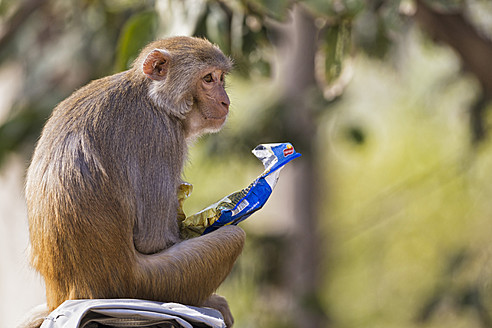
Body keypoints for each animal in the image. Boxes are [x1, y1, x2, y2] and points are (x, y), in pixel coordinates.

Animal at [23, 36, 246, 328]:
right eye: (208, 79)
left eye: (221, 78)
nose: (226, 101)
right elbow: (153, 238)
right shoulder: (160, 135)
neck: (152, 97)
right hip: (149, 283)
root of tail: (64, 296)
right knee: (233, 236)